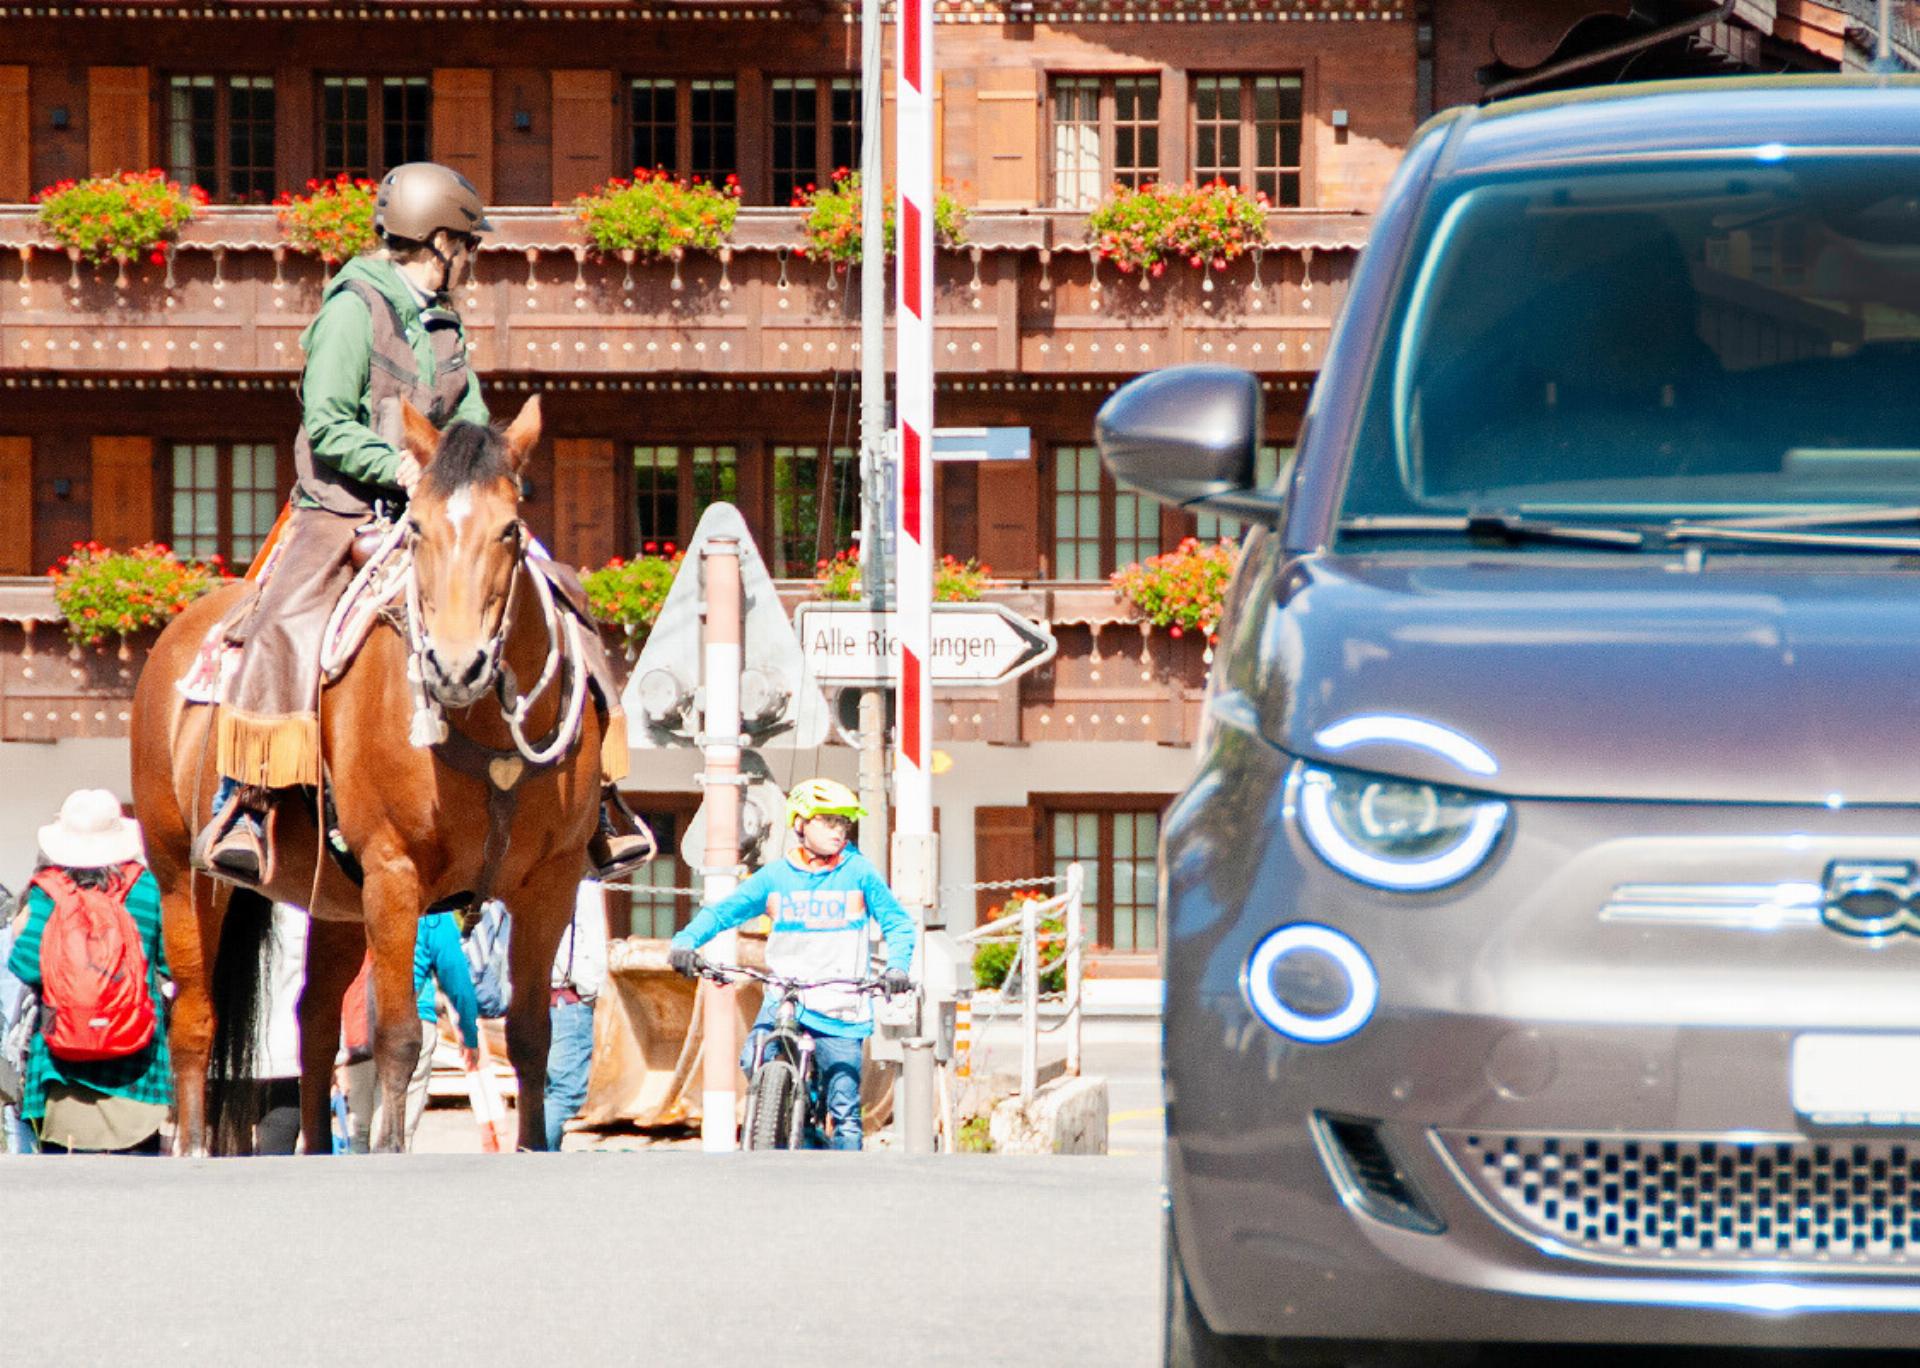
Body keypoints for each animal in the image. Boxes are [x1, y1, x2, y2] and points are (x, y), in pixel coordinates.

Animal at [127, 397, 602, 1152]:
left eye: (510, 529)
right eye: (419, 529)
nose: (456, 665)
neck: (485, 729)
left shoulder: (550, 883)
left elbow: (532, 1036)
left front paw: (530, 1144)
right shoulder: (394, 872)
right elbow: (399, 1036)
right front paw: (391, 1147)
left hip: (338, 903)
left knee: (316, 1023)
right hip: (184, 876)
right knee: (197, 1019)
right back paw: (195, 1143)